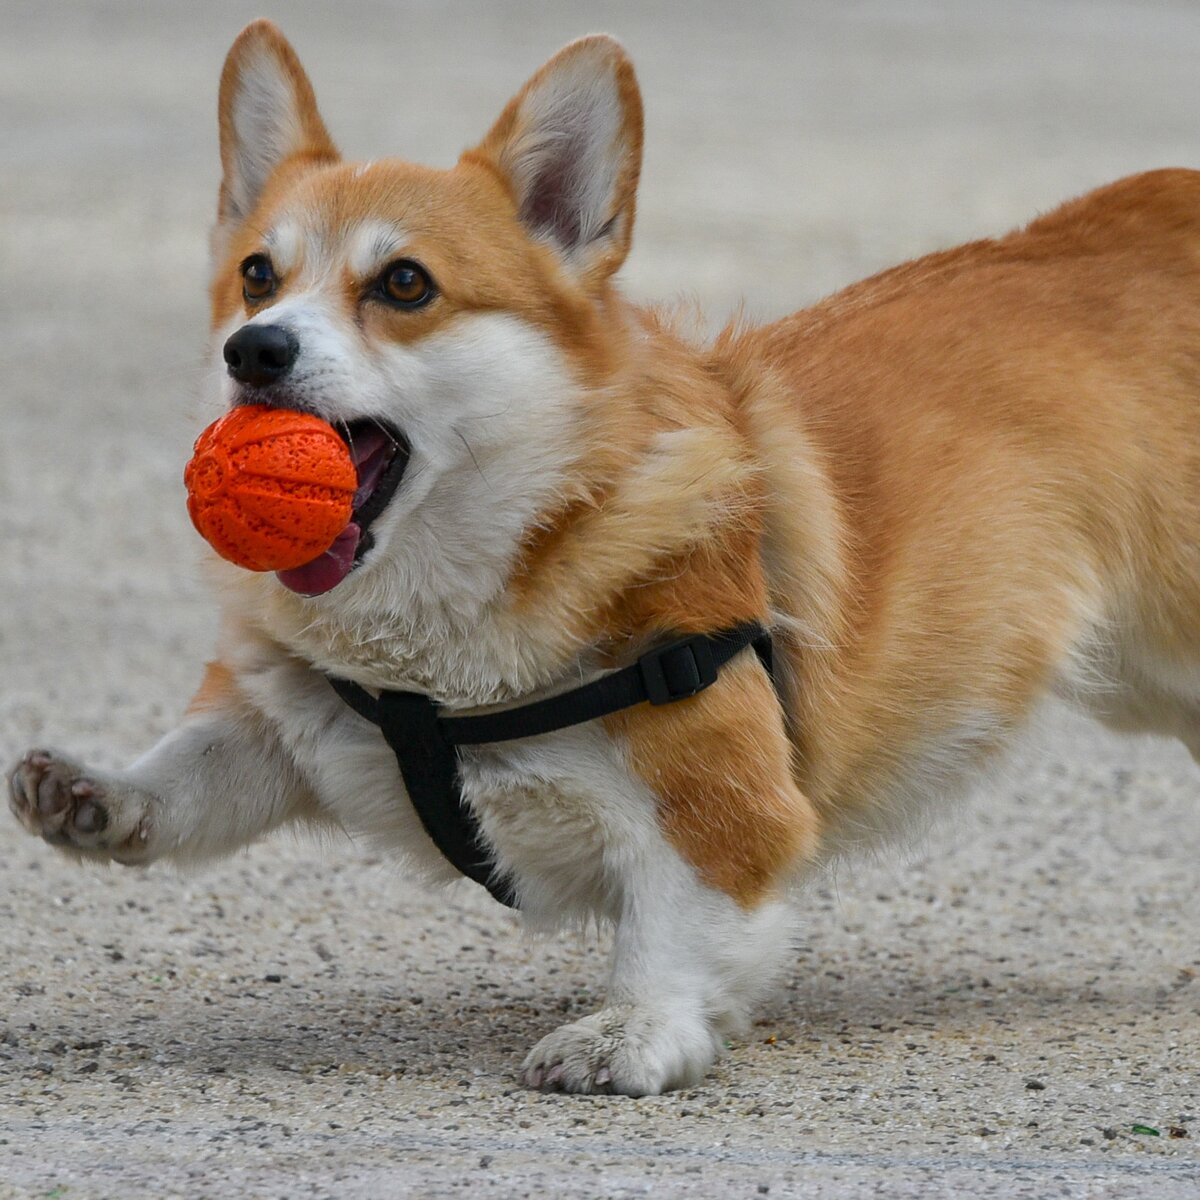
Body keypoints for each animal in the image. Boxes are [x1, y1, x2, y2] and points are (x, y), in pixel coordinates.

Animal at [9, 18, 1200, 1094]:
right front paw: (95, 796)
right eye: (258, 275)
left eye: (405, 284)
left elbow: (671, 933)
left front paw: (631, 1031)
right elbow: (196, 771)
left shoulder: (721, 810)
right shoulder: (295, 718)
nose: (252, 350)